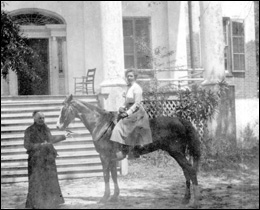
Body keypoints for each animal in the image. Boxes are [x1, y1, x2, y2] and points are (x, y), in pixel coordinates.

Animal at [56, 94, 201, 207]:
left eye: (63, 110)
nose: (57, 126)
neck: (102, 125)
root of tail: (181, 120)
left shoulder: (104, 157)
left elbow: (106, 176)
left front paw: (104, 198)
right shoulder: (112, 159)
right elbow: (114, 176)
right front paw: (114, 196)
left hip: (176, 152)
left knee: (191, 170)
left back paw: (195, 202)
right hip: (179, 153)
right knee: (186, 171)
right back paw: (186, 199)